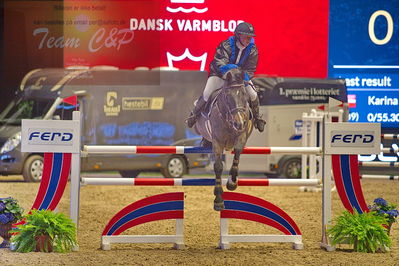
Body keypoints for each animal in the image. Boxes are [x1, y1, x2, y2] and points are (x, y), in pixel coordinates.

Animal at [195, 69, 256, 212]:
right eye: (227, 96)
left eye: (244, 94)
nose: (239, 123)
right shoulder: (217, 142)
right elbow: (218, 167)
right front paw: (218, 200)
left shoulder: (241, 137)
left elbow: (236, 158)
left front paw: (232, 182)